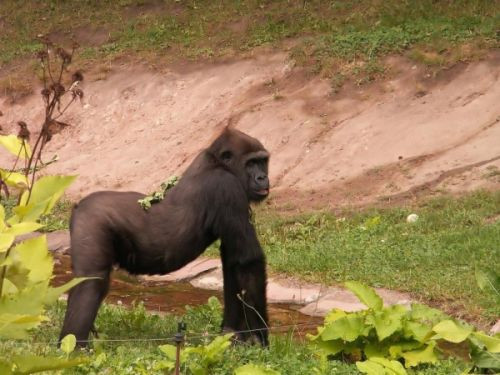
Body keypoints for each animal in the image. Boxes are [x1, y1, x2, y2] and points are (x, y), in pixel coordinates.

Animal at [59, 129, 272, 346]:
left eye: (263, 161)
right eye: (251, 163)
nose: (263, 177)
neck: (217, 162)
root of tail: (79, 205)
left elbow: (233, 264)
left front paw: (231, 333)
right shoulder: (227, 188)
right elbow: (248, 260)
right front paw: (259, 337)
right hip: (92, 220)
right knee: (90, 282)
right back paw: (75, 346)